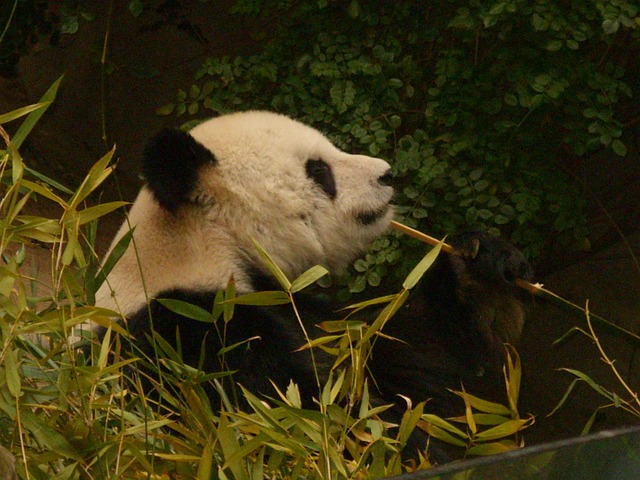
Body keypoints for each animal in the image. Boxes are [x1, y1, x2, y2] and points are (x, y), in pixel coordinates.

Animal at [95, 110, 532, 460]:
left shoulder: (307, 309)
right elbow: (310, 423)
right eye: (319, 170)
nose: (387, 173)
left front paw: (479, 265)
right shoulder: (191, 339)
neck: (205, 245)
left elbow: (405, 356)